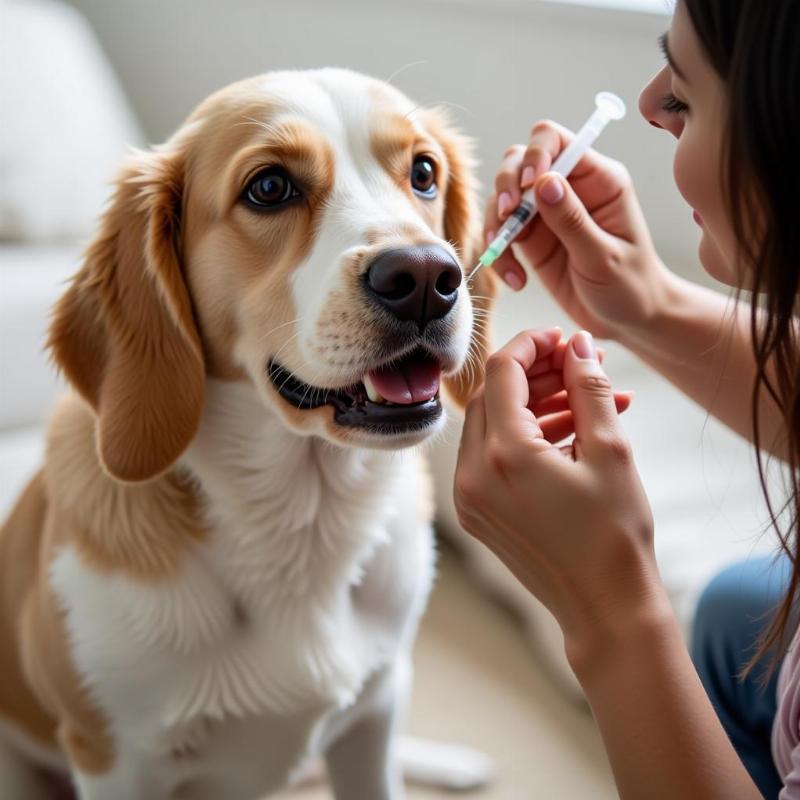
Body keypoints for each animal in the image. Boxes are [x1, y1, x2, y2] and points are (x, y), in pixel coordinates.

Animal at [0, 69, 494, 800]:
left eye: (424, 173)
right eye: (269, 188)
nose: (428, 279)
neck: (304, 517)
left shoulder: (375, 717)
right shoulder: (116, 761)